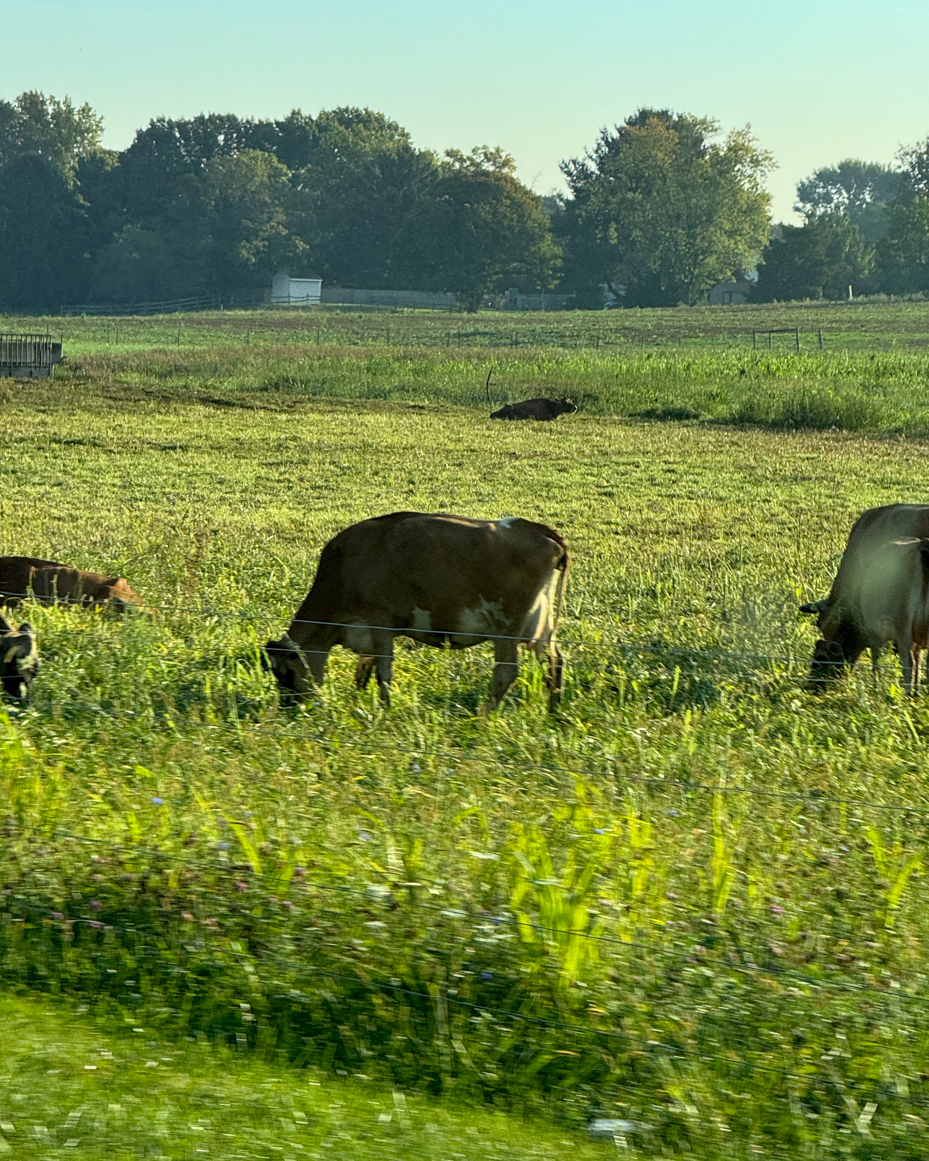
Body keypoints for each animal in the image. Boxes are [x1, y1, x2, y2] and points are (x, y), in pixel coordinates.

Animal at [261, 513, 566, 710]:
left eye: (284, 674)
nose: (290, 710)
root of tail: (536, 528)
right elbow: (364, 671)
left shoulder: (380, 622)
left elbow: (383, 672)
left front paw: (383, 710)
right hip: (540, 625)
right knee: (554, 661)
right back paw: (554, 711)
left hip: (508, 630)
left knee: (506, 671)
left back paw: (484, 715)